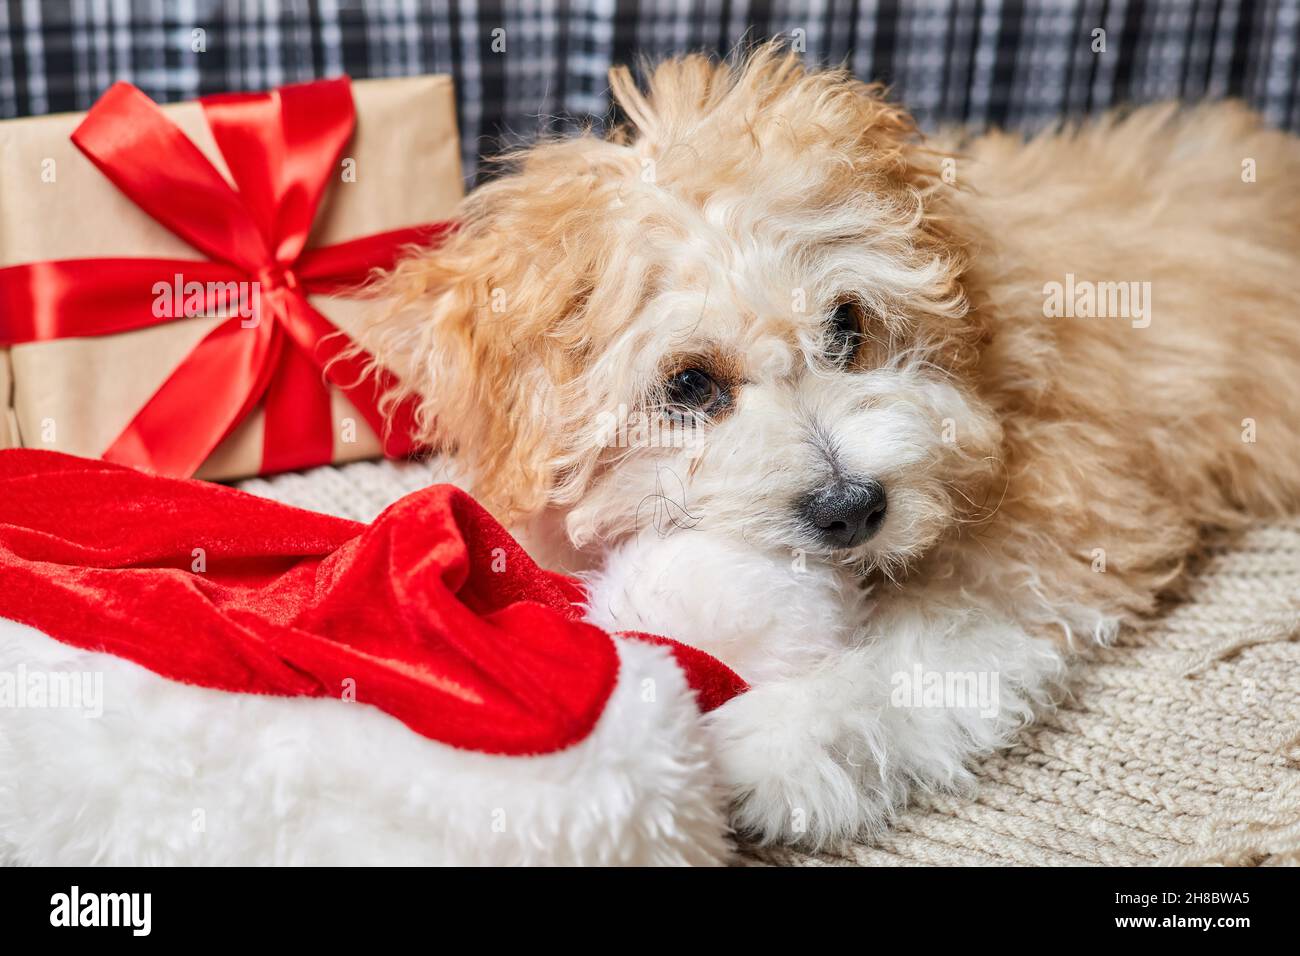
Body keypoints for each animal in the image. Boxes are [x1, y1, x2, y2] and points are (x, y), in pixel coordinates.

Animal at [361, 48, 1300, 848]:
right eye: (689, 385)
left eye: (848, 325)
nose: (852, 509)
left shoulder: (1057, 536)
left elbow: (919, 659)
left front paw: (767, 751)